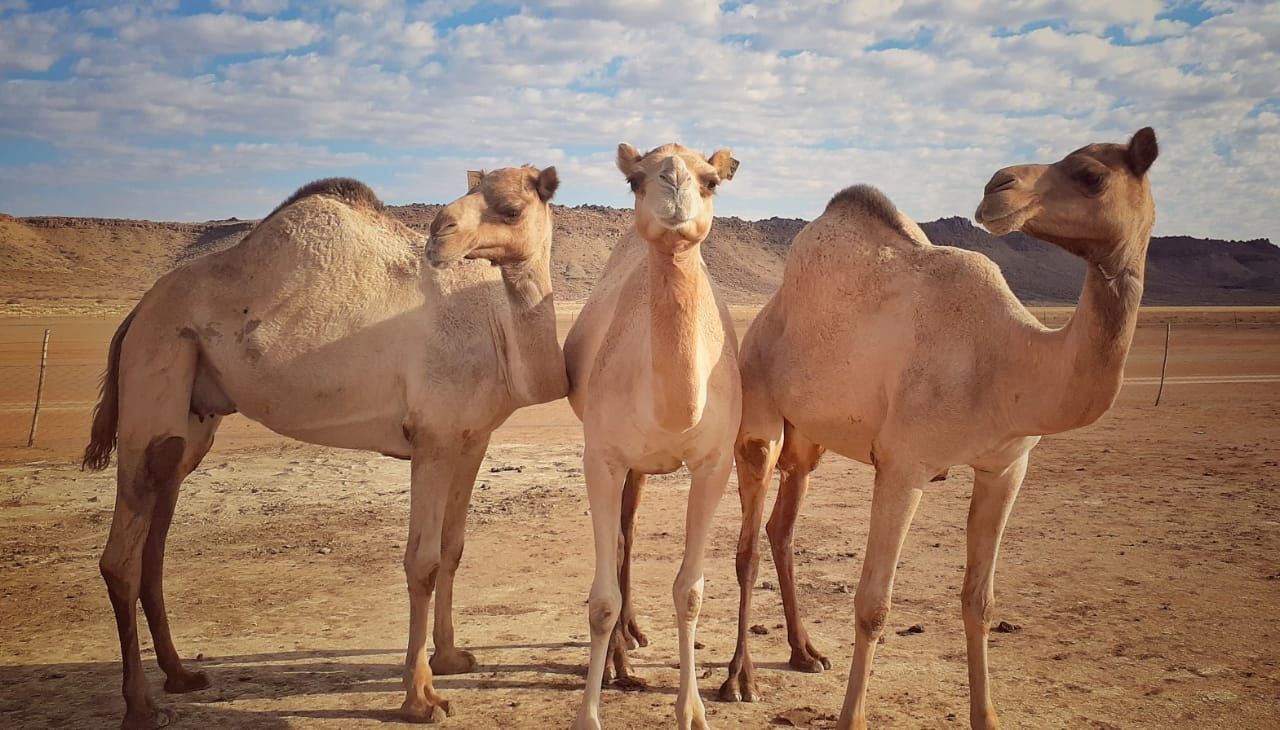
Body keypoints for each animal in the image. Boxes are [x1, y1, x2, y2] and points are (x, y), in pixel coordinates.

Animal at [83, 166, 567, 729]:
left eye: (511, 208)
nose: (439, 231)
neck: (496, 328)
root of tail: (137, 311)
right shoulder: (432, 438)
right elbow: (422, 563)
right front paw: (420, 697)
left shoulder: (472, 439)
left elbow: (453, 549)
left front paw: (451, 658)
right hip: (152, 378)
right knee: (121, 557)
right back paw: (141, 706)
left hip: (190, 417)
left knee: (155, 544)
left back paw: (181, 676)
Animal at [565, 143, 741, 730]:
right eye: (635, 180)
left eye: (712, 180)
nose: (674, 185)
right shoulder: (601, 457)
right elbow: (600, 602)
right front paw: (589, 716)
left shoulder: (715, 462)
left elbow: (689, 592)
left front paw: (692, 710)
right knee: (621, 541)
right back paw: (619, 657)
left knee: (629, 532)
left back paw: (632, 642)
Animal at [717, 128, 1159, 729]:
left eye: (1091, 174)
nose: (998, 187)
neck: (1008, 361)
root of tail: (764, 318)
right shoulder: (903, 466)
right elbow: (873, 605)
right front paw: (851, 719)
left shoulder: (1006, 467)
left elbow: (980, 600)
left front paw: (987, 716)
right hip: (758, 407)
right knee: (748, 545)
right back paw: (740, 680)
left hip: (809, 439)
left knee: (781, 529)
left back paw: (805, 653)